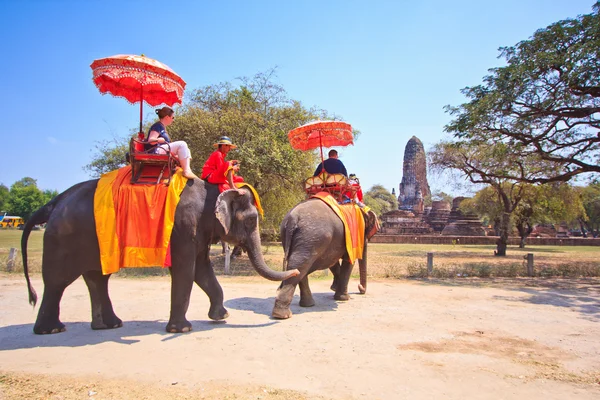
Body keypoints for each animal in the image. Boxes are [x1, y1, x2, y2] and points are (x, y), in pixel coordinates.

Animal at [23, 178, 300, 334]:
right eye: (252, 220)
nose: (296, 269)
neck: (214, 190)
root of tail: (54, 201)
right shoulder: (184, 227)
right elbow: (185, 270)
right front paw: (182, 329)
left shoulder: (198, 231)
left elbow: (202, 270)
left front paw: (221, 317)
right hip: (64, 237)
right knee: (58, 281)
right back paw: (51, 330)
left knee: (97, 278)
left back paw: (110, 325)